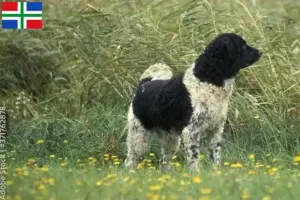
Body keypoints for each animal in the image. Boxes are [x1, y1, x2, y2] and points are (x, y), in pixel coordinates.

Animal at [124, 33, 262, 172]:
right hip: (138, 137)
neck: (208, 79)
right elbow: (194, 157)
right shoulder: (191, 130)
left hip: (171, 140)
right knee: (130, 160)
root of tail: (144, 83)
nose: (260, 52)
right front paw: (196, 174)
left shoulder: (216, 130)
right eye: (243, 45)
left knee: (164, 162)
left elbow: (215, 157)